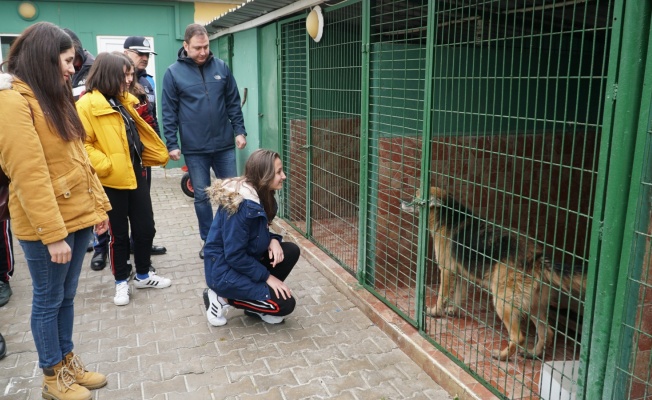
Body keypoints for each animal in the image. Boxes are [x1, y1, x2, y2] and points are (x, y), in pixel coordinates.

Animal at [400, 188, 588, 360]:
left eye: (416, 197)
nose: (401, 201)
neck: (447, 215)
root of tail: (535, 258)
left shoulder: (447, 271)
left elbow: (442, 296)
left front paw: (435, 312)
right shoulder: (461, 274)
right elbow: (459, 295)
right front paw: (454, 311)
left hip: (502, 302)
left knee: (518, 337)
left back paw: (502, 355)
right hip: (533, 304)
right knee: (546, 332)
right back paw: (532, 353)